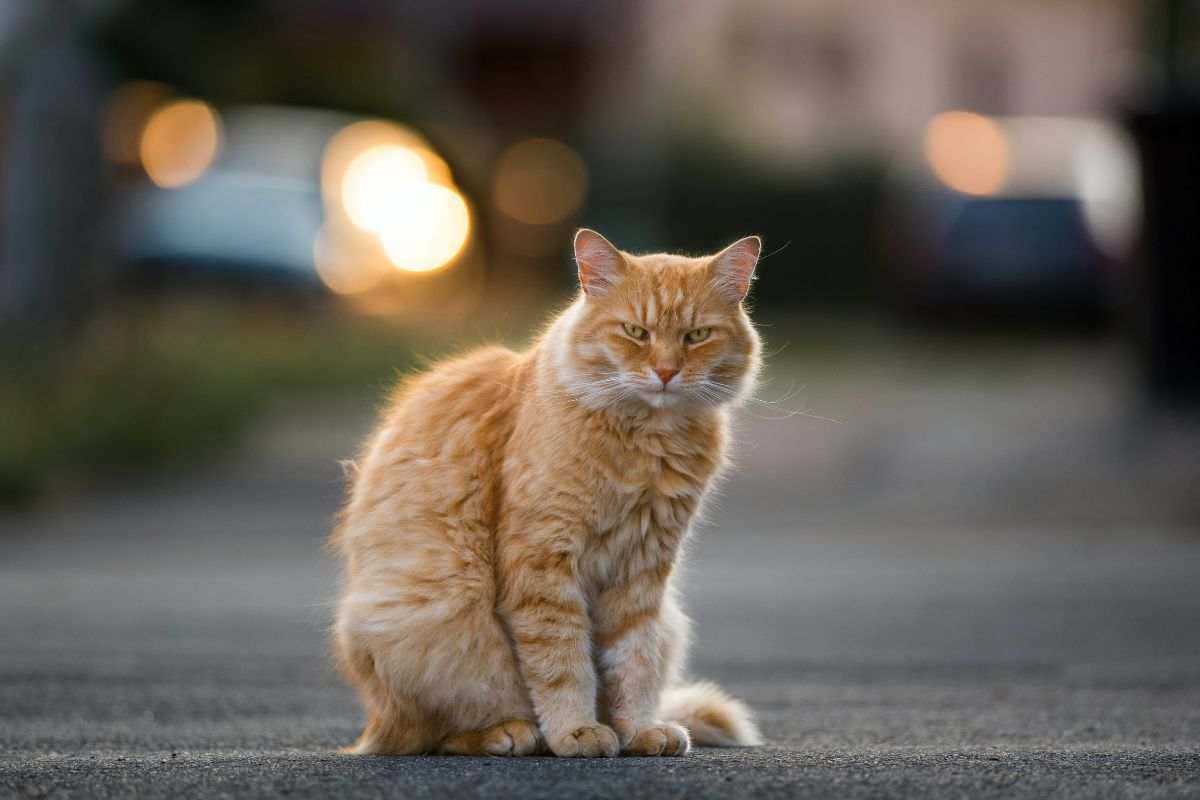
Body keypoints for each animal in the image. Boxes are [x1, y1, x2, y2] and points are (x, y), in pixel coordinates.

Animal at [328, 230, 763, 758]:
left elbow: (631, 662)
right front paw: (576, 731)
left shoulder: (642, 570)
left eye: (696, 336)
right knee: (432, 734)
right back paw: (510, 733)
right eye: (635, 332)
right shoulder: (543, 561)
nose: (665, 371)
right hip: (438, 623)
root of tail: (371, 724)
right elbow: (562, 663)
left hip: (670, 624)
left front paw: (637, 729)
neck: (645, 443)